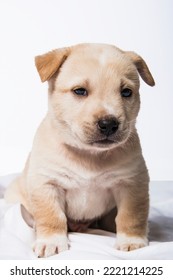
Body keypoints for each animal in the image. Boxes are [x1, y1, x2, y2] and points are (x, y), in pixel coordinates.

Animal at [5, 42, 154, 258]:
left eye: (126, 92)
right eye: (80, 91)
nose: (109, 124)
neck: (88, 155)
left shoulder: (132, 183)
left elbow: (131, 215)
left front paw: (132, 241)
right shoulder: (47, 183)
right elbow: (51, 216)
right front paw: (51, 241)